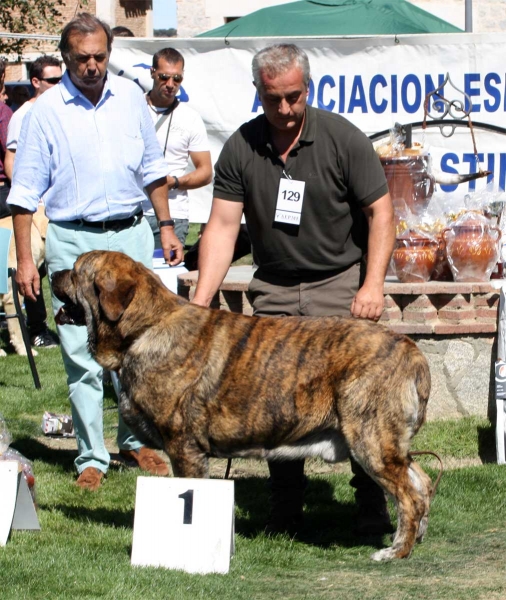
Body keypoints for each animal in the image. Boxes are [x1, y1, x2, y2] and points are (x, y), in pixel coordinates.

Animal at [52, 250, 434, 564]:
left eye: (76, 270)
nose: (53, 274)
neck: (144, 328)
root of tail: (410, 349)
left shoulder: (183, 445)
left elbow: (192, 489)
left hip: (371, 440)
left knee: (409, 496)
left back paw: (395, 551)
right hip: (387, 445)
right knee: (422, 483)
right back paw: (416, 536)